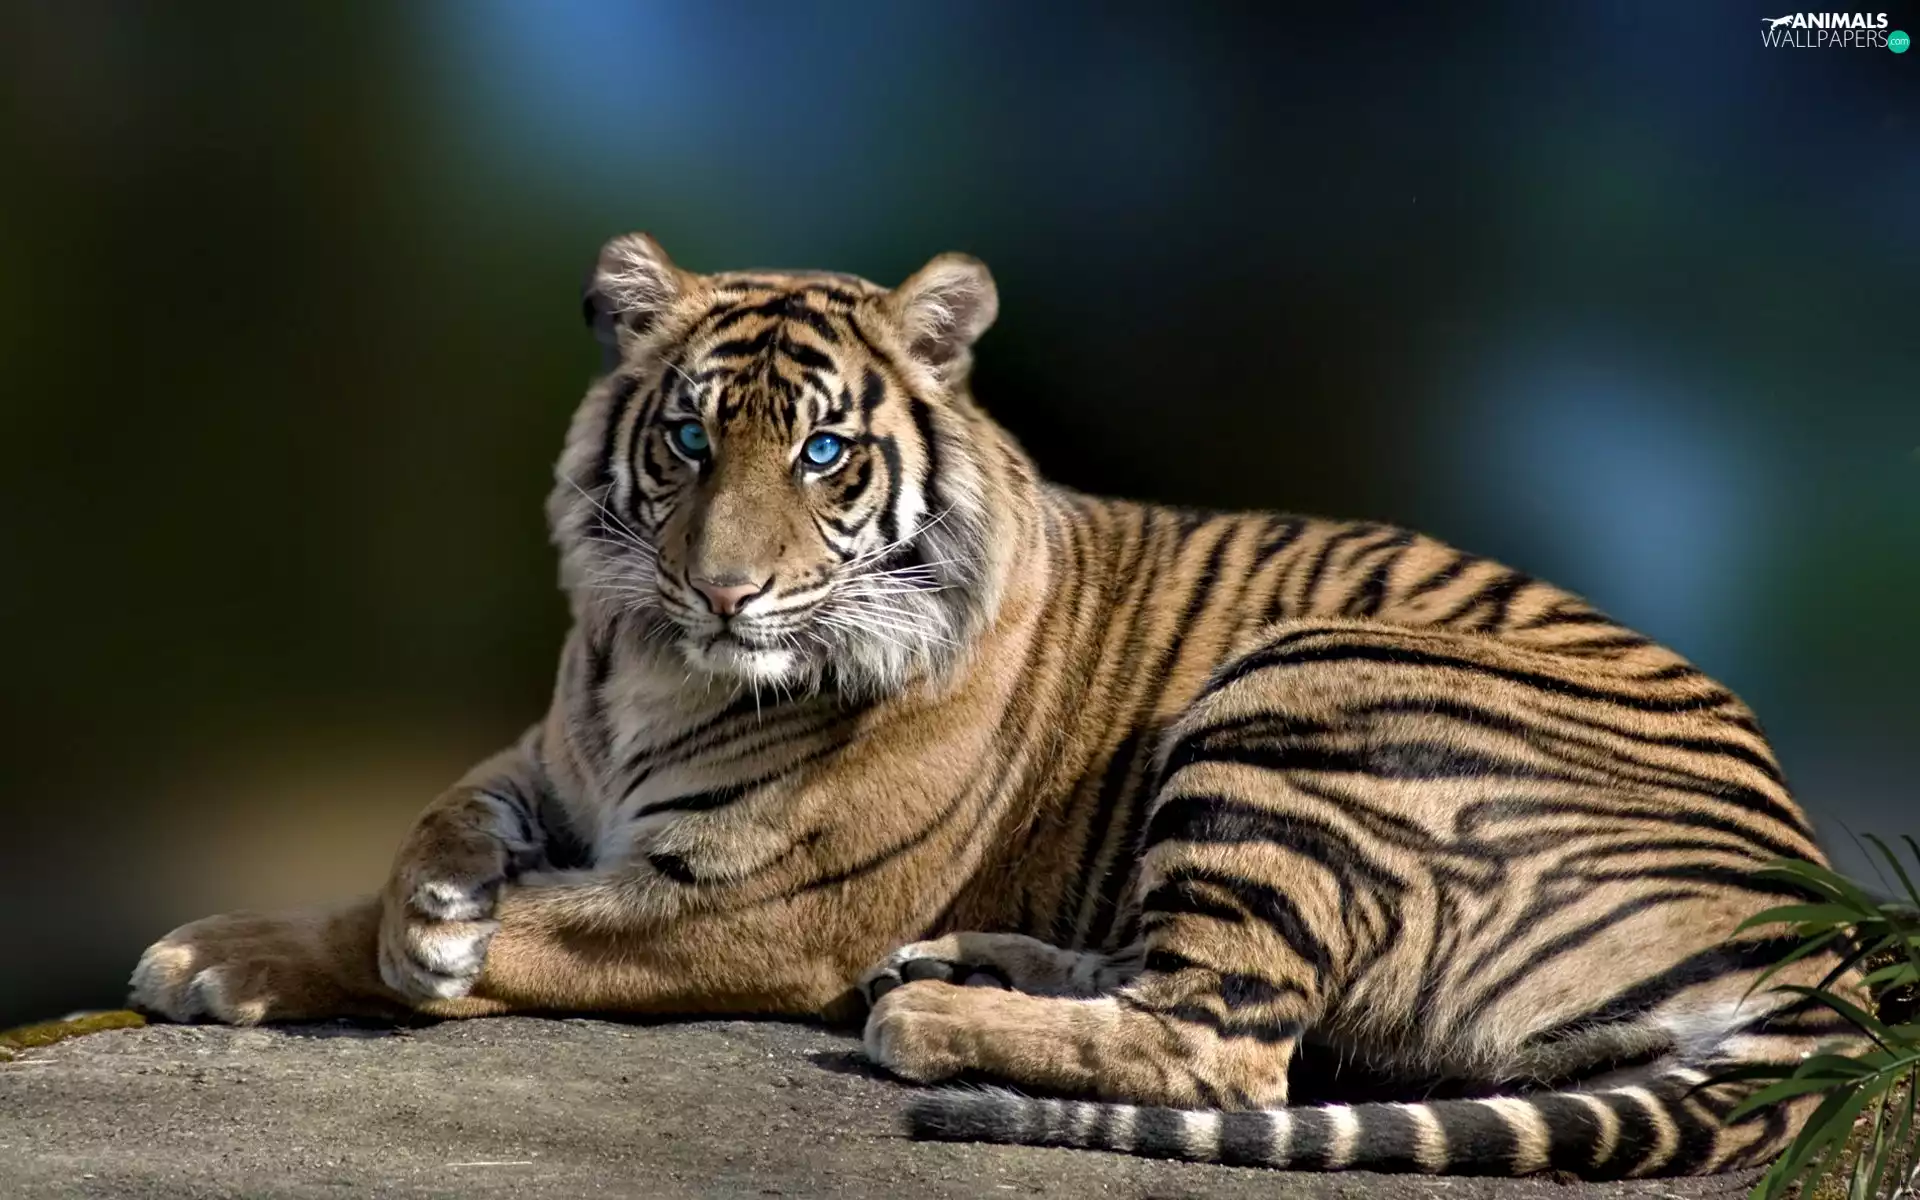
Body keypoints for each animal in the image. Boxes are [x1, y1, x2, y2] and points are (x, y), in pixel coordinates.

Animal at [129, 233, 1859, 1179]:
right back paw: (972, 962)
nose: (724, 591)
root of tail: (1828, 933)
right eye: (686, 439)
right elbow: (432, 823)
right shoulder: (549, 761)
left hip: (1305, 684)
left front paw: (389, 949)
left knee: (1232, 1044)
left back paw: (930, 1017)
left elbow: (504, 933)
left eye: (824, 455)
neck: (650, 668)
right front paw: (278, 938)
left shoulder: (742, 910)